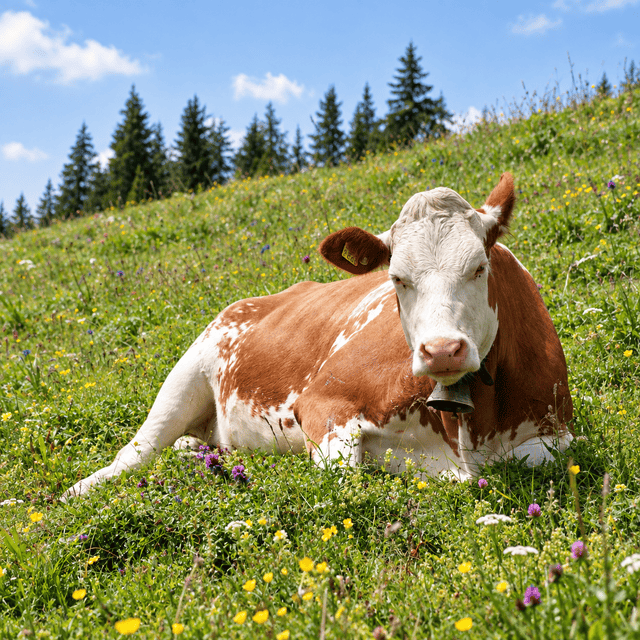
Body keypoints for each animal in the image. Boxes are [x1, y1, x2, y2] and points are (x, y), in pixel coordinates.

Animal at [62, 172, 573, 499]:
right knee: (136, 453)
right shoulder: (324, 402)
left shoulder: (557, 435)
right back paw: (78, 490)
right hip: (186, 374)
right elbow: (345, 477)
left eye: (479, 267)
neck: (467, 427)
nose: (442, 350)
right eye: (397, 278)